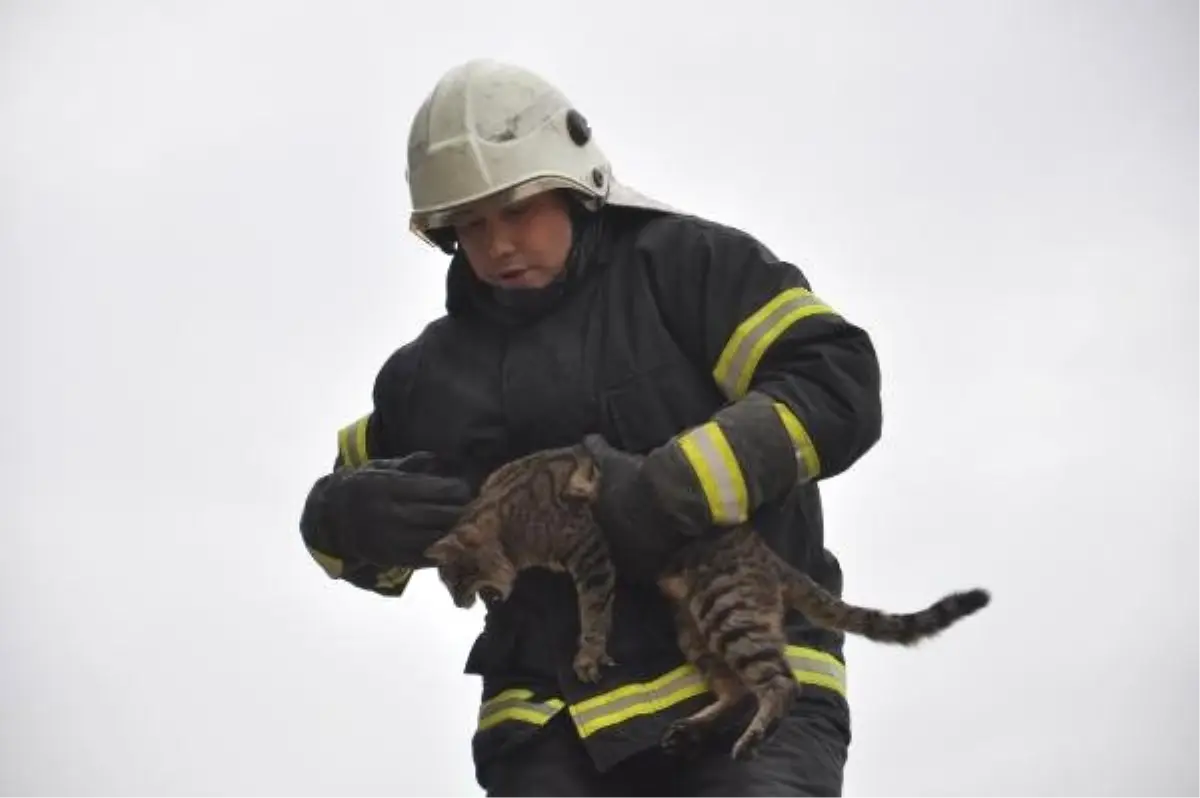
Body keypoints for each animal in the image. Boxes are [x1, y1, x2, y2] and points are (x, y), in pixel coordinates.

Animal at [427, 441, 988, 758]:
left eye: (456, 583)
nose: (458, 605)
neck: (507, 516)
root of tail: (768, 558)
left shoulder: (591, 552)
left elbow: (594, 609)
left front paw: (588, 654)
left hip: (727, 611)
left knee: (781, 684)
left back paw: (752, 736)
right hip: (693, 628)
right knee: (737, 690)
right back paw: (694, 729)